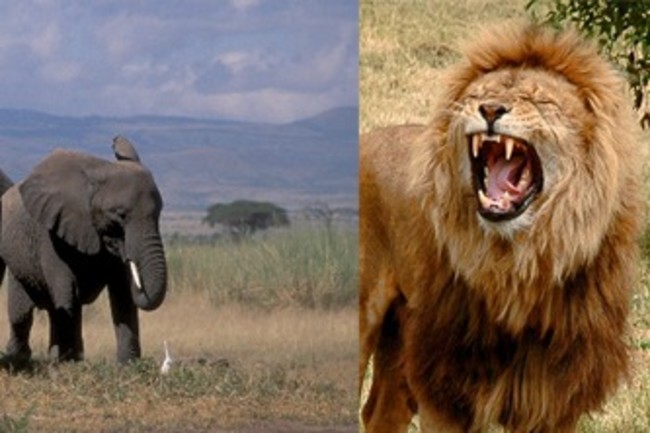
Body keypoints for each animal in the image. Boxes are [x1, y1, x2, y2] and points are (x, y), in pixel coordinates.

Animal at [0, 136, 167, 364]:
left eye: (159, 213)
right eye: (119, 215)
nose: (116, 140)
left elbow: (122, 293)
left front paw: (128, 363)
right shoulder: (50, 234)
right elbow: (67, 288)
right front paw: (69, 361)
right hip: (17, 260)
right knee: (22, 312)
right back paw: (20, 357)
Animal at [360, 23, 644, 433]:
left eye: (537, 99)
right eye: (479, 95)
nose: (490, 110)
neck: (518, 263)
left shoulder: (554, 398)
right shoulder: (446, 386)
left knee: (381, 412)